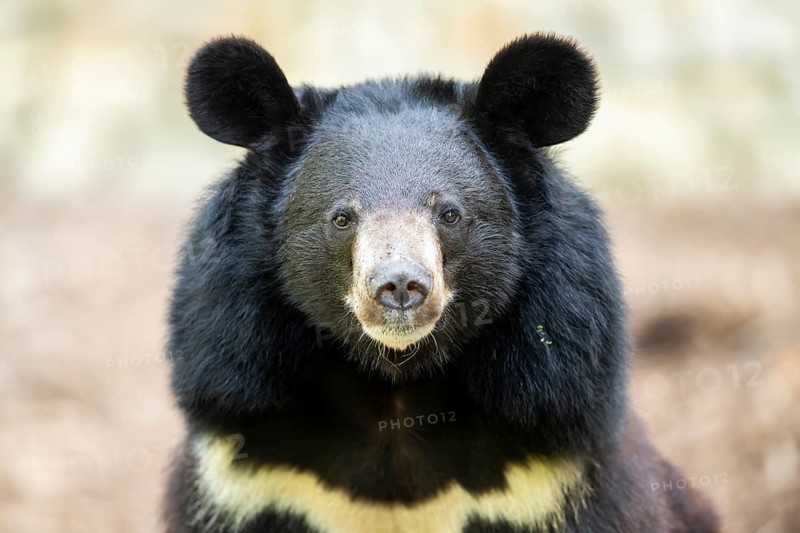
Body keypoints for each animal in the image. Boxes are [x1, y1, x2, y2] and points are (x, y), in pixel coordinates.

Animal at [164, 34, 719, 533]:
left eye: (449, 213)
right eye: (341, 218)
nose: (400, 287)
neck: (397, 388)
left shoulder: (550, 466)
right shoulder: (251, 472)